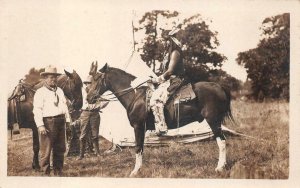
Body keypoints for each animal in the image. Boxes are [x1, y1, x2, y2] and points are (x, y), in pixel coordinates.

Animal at [86, 64, 234, 177]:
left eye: (96, 78)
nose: (88, 98)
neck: (135, 95)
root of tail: (219, 87)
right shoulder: (142, 128)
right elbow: (141, 148)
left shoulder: (138, 126)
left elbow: (138, 147)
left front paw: (135, 171)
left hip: (213, 121)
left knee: (221, 141)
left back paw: (220, 167)